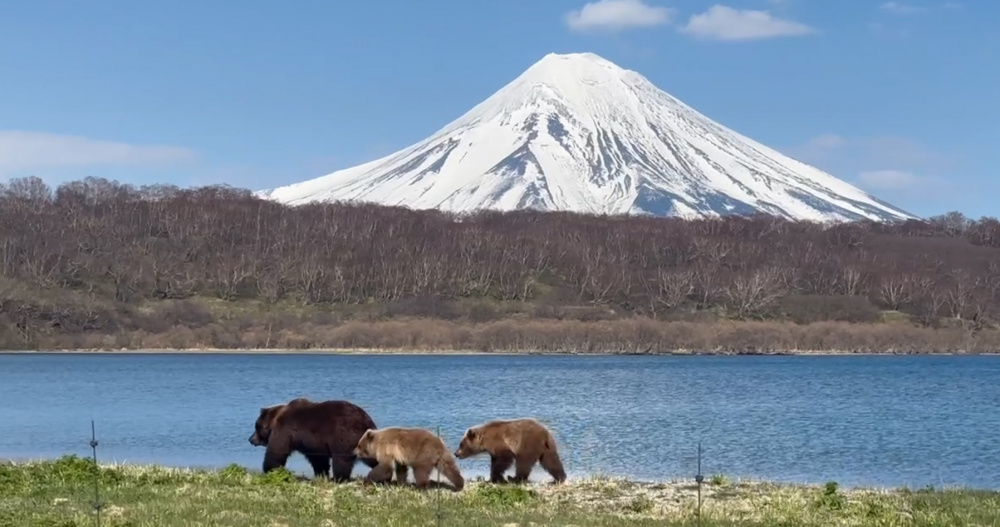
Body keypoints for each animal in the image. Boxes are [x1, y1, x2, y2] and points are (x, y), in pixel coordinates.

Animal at [248, 400, 380, 482]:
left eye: (256, 426)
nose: (250, 439)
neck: (275, 419)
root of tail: (364, 419)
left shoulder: (285, 430)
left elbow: (276, 451)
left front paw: (270, 469)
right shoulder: (314, 444)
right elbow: (318, 460)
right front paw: (321, 474)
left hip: (343, 437)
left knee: (341, 461)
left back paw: (338, 478)